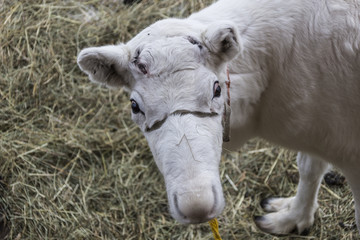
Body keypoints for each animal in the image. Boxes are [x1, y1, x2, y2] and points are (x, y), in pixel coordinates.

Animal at [77, 0, 360, 236]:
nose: (196, 205)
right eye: (135, 106)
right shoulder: (325, 131)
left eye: (216, 89)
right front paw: (293, 218)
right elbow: (309, 167)